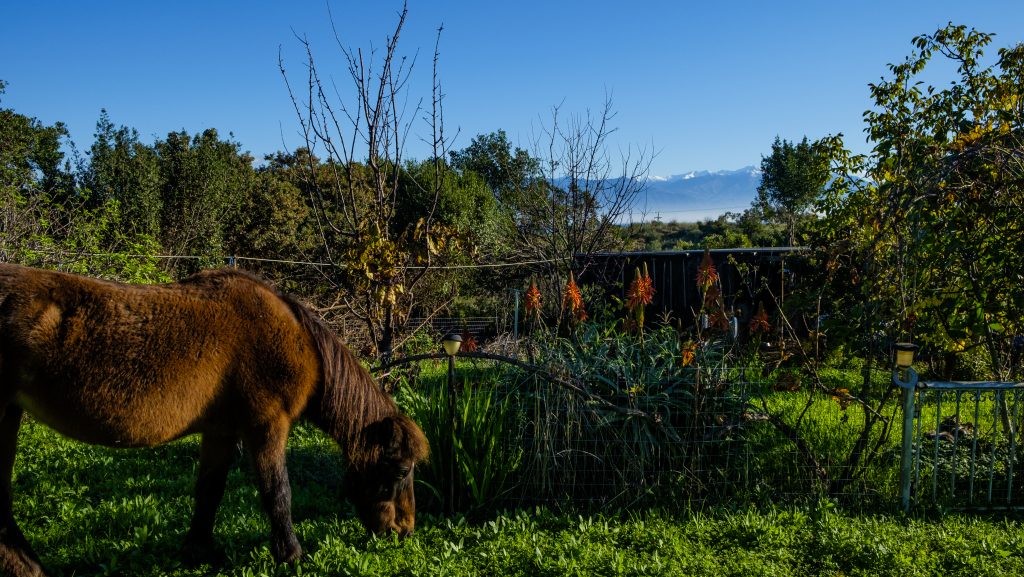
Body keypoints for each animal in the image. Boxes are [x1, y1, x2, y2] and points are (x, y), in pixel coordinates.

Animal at [0, 264, 428, 573]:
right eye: (401, 469)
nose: (405, 530)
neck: (295, 336)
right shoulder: (266, 425)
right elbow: (278, 493)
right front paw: (292, 555)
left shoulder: (221, 432)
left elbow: (209, 492)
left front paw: (198, 551)